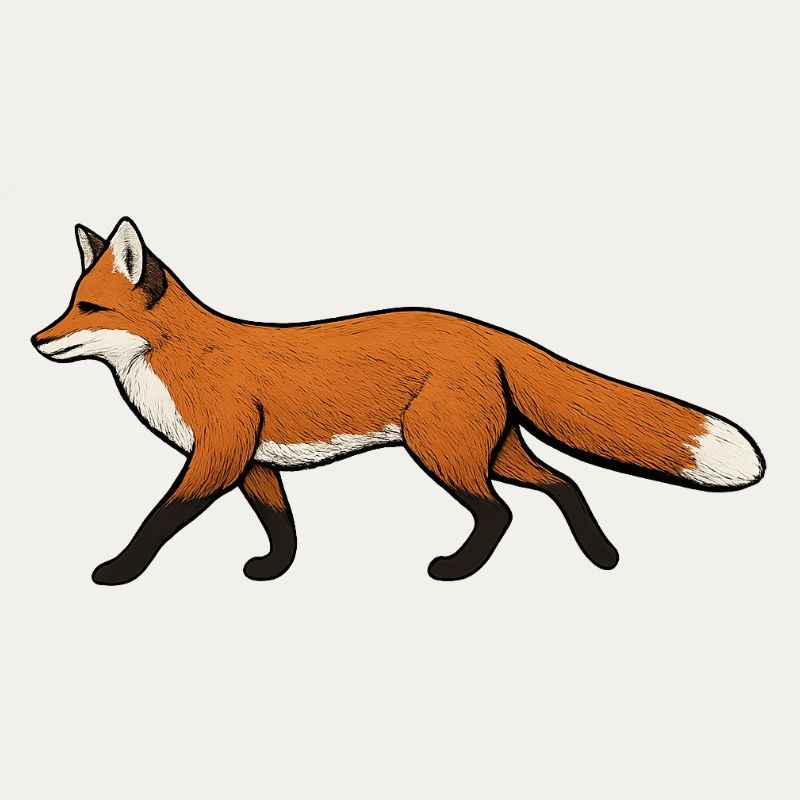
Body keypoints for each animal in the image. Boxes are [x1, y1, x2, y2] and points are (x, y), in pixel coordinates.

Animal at [32, 217, 765, 585]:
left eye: (88, 309)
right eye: (68, 305)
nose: (36, 339)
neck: (181, 358)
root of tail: (485, 329)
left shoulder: (218, 453)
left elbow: (158, 520)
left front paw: (118, 571)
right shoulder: (255, 462)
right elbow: (281, 524)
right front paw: (273, 571)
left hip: (440, 449)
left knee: (499, 513)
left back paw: (458, 570)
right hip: (488, 448)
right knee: (565, 483)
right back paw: (602, 557)